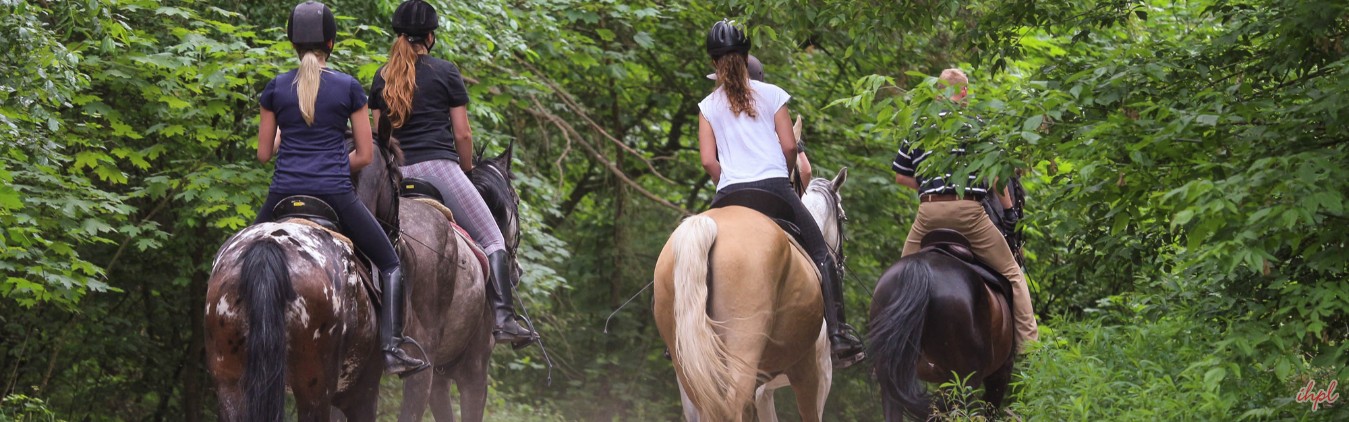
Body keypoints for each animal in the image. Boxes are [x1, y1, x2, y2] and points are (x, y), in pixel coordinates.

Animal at [656, 170, 849, 422]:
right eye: (843, 219)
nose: (842, 265)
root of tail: (706, 225)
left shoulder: (763, 389)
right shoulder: (815, 372)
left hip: (691, 371)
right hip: (744, 351)